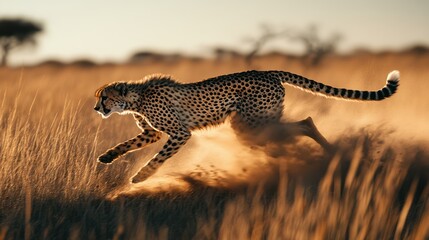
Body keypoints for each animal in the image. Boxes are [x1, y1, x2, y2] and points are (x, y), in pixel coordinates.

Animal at [93, 70, 398, 183]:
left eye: (104, 97)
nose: (96, 109)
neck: (136, 98)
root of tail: (268, 71)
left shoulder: (180, 132)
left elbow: (159, 157)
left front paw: (142, 176)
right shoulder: (152, 132)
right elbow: (127, 144)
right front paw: (108, 156)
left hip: (251, 123)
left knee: (303, 123)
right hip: (253, 122)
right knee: (299, 125)